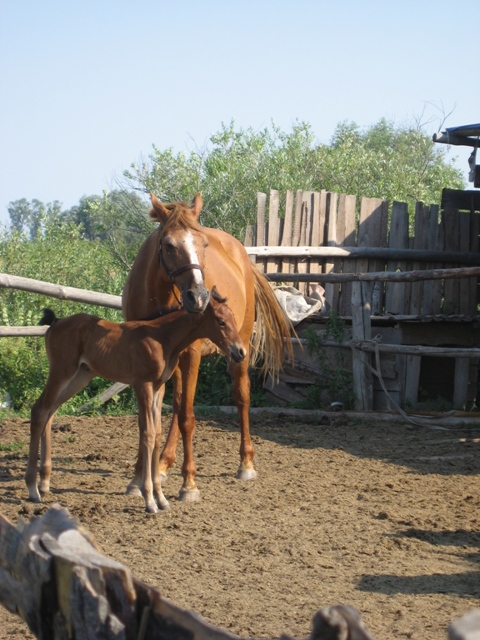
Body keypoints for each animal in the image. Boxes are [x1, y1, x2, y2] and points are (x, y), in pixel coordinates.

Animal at [24, 288, 246, 512]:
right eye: (220, 322)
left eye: (233, 318)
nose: (240, 352)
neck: (162, 338)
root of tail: (56, 322)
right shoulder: (142, 384)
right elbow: (148, 434)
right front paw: (149, 499)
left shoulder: (157, 388)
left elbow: (157, 435)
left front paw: (161, 498)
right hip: (61, 371)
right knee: (40, 410)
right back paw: (33, 488)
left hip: (80, 376)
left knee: (50, 412)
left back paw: (44, 483)